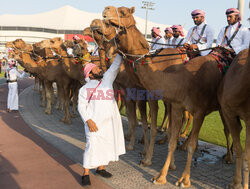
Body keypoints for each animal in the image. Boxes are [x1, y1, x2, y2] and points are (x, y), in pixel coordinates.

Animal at [102, 5, 234, 188]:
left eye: (122, 12)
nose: (105, 12)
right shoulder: (172, 102)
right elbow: (167, 134)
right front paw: (159, 173)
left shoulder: (195, 109)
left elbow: (179, 137)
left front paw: (183, 178)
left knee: (228, 130)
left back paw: (229, 160)